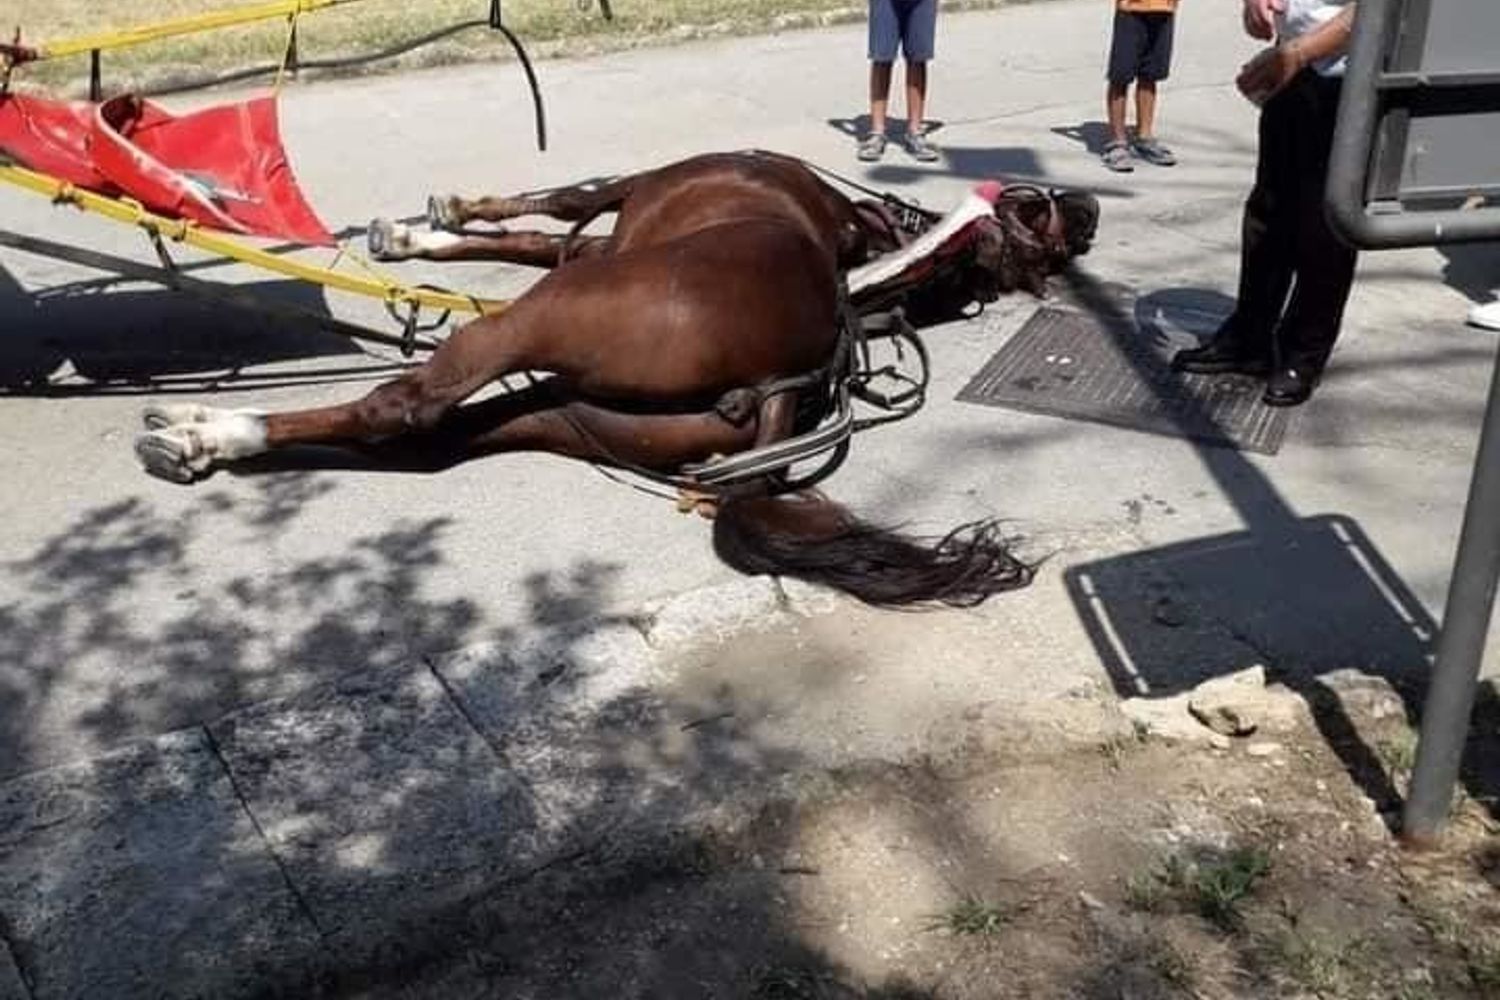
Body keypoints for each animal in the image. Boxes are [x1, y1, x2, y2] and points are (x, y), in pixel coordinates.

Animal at [134, 150, 1099, 607]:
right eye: (1042, 210)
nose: (1089, 207)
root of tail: (782, 380)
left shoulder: (620, 204)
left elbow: (558, 204)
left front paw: (430, 225)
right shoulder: (604, 241)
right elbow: (531, 235)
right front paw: (418, 237)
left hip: (537, 321)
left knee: (406, 406)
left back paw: (209, 432)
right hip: (567, 412)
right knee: (433, 441)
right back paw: (212, 441)